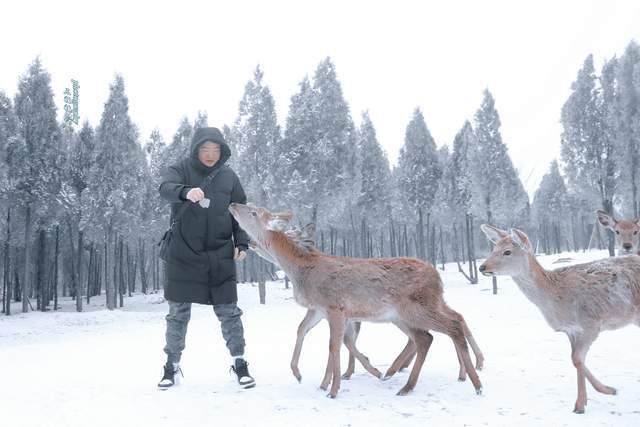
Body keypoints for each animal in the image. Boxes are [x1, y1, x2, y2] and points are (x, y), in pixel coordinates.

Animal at [228, 203, 482, 398]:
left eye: (253, 212)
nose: (233, 204)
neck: (300, 271)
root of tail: (437, 276)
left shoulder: (335, 307)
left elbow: (334, 345)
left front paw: (333, 389)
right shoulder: (319, 309)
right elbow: (305, 331)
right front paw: (309, 378)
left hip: (415, 307)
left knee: (449, 327)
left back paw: (474, 382)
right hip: (408, 312)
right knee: (431, 334)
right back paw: (408, 380)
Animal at [478, 226, 640, 412]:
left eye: (507, 252)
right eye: (493, 249)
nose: (482, 267)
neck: (556, 299)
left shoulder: (591, 322)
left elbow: (577, 358)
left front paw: (580, 405)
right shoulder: (570, 329)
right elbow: (575, 359)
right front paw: (607, 389)